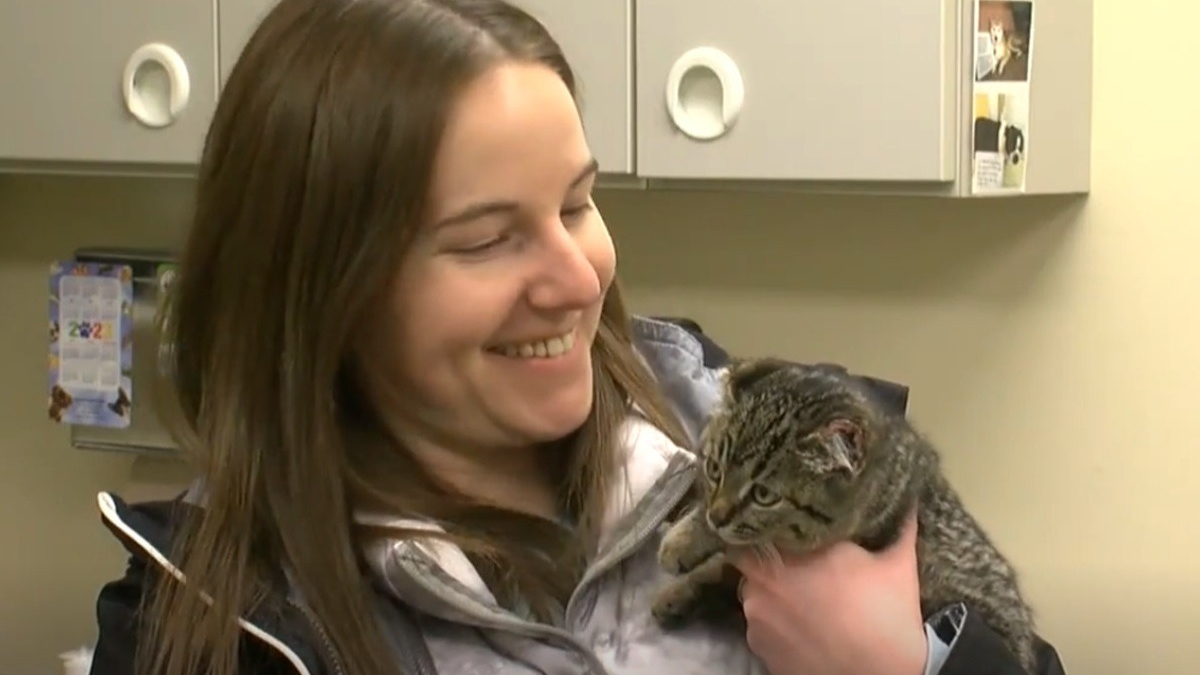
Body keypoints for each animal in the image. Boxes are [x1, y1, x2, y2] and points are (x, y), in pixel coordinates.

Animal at [652, 355, 1036, 667]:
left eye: (763, 495)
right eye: (714, 469)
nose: (718, 516)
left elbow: (733, 554)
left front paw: (686, 544)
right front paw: (687, 553)